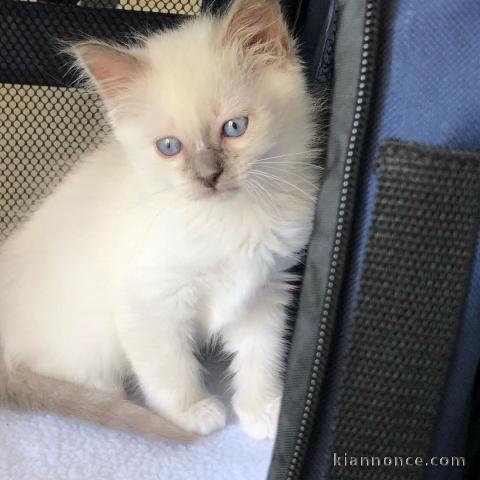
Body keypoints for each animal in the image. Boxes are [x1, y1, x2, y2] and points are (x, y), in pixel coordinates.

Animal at [0, 0, 318, 440]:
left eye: (235, 127)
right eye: (169, 147)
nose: (208, 176)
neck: (228, 221)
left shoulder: (266, 289)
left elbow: (261, 356)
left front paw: (264, 413)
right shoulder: (149, 302)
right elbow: (169, 369)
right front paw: (193, 413)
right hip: (87, 338)